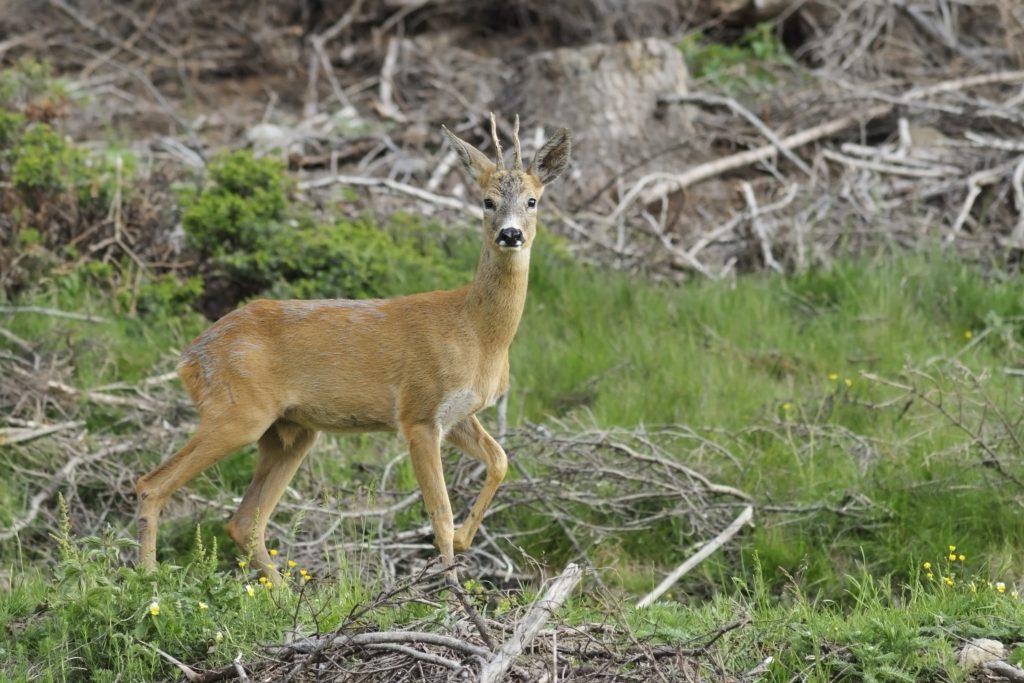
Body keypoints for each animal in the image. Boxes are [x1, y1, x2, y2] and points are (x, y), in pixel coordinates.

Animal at [133, 114, 573, 581]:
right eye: (487, 201)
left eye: (532, 201)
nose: (510, 234)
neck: (478, 334)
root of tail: (189, 358)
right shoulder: (418, 412)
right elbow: (439, 511)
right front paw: (449, 590)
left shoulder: (456, 415)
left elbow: (500, 459)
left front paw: (464, 539)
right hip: (237, 411)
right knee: (152, 485)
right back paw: (147, 578)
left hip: (292, 432)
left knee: (244, 520)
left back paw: (285, 594)